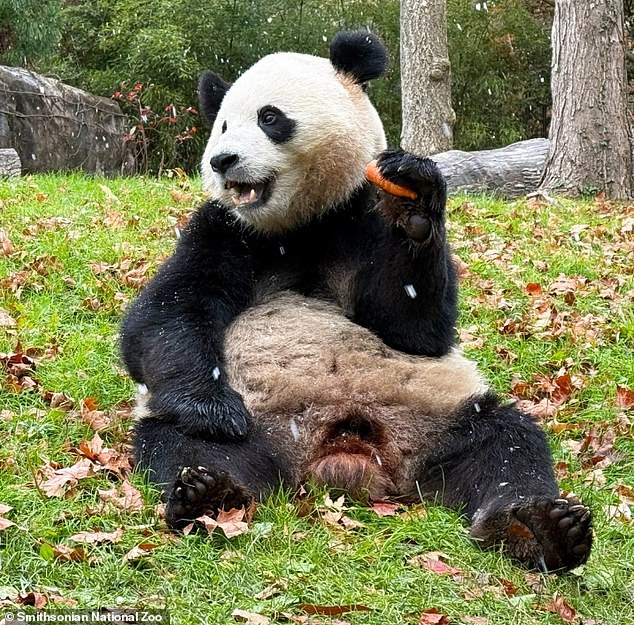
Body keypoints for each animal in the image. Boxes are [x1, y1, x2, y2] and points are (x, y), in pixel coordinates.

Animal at [121, 31, 592, 572]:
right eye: (220, 125)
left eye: (269, 117)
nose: (223, 160)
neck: (300, 223)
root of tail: (344, 451)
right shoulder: (225, 229)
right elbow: (165, 313)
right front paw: (212, 409)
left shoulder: (360, 216)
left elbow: (416, 329)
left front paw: (417, 199)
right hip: (259, 421)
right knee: (183, 444)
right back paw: (208, 493)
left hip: (441, 416)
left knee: (506, 442)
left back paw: (538, 528)